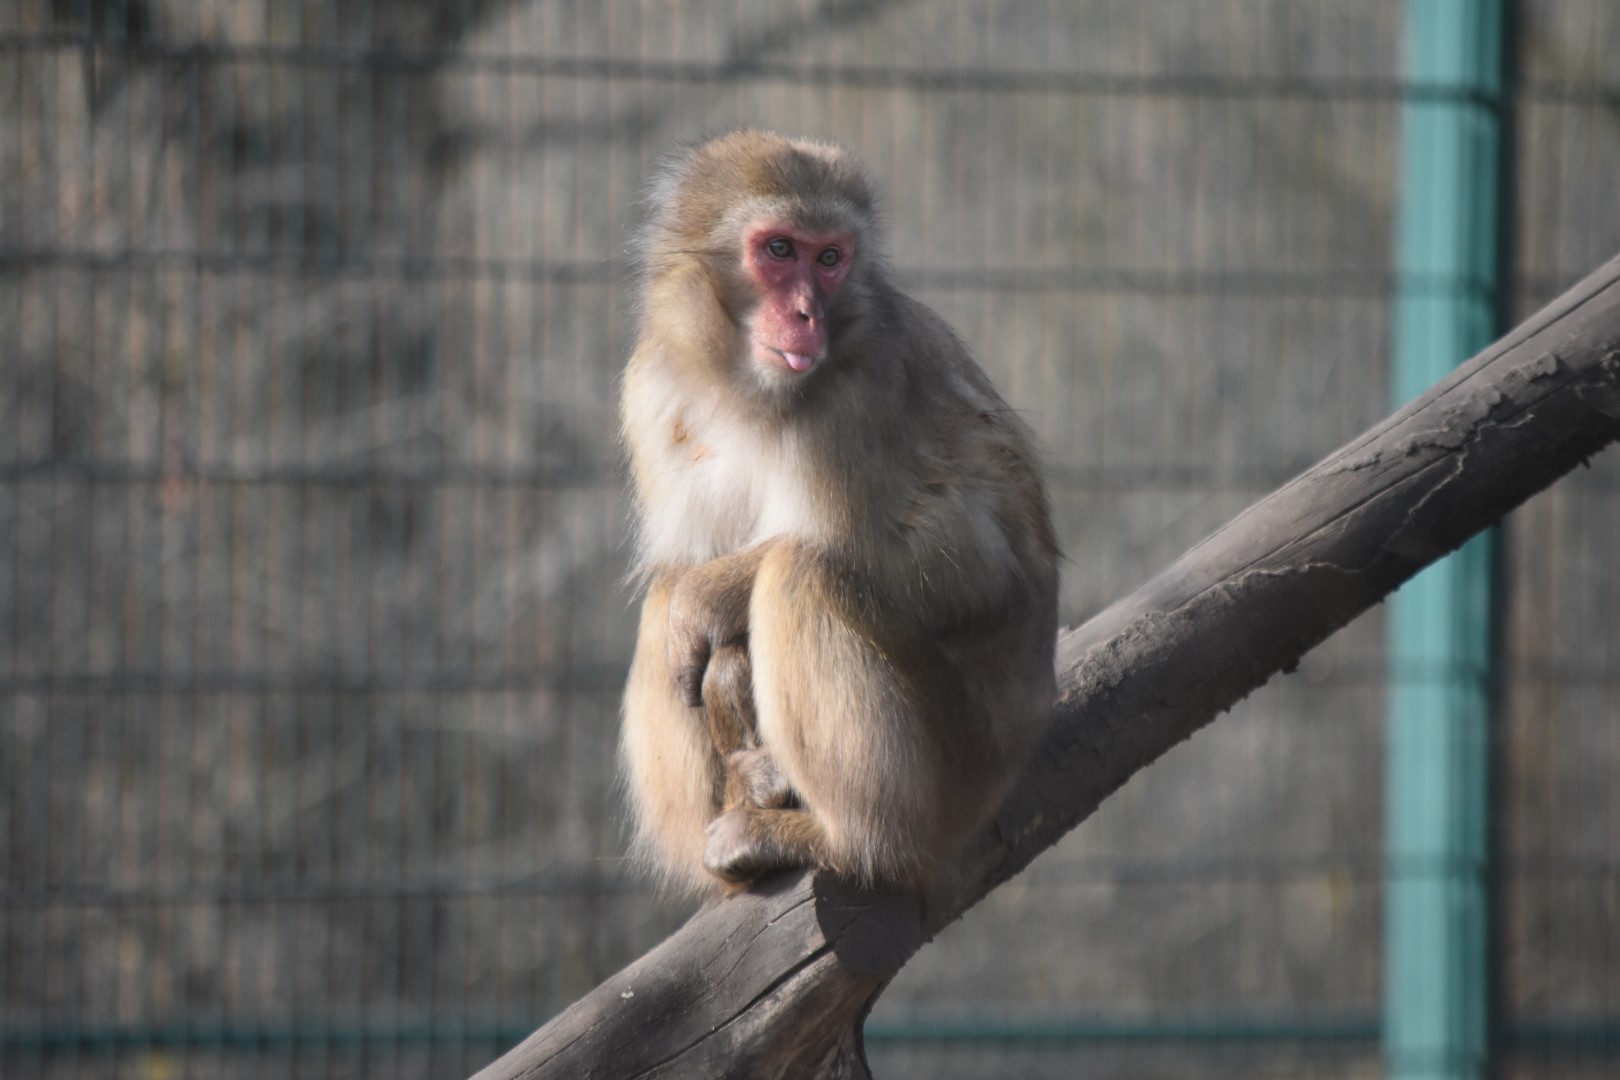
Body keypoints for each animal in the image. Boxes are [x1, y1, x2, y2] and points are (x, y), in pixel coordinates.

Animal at [619, 131, 1060, 896]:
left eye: (829, 259)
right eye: (779, 250)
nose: (805, 314)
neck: (747, 391)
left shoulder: (862, 395)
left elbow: (968, 563)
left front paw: (711, 598)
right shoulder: (650, 392)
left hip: (960, 772)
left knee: (801, 573)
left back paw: (847, 842)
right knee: (668, 596)